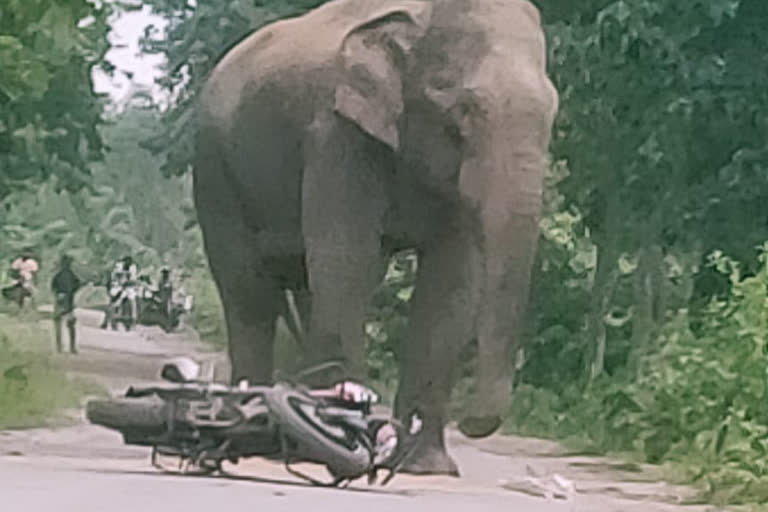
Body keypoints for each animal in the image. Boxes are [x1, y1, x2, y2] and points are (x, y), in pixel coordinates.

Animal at [195, 0, 560, 474]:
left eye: (553, 116)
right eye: (461, 115)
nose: (470, 422)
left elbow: (451, 283)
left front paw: (425, 467)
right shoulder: (336, 135)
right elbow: (346, 260)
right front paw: (336, 444)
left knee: (309, 291)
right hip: (215, 168)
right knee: (249, 291)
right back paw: (252, 423)